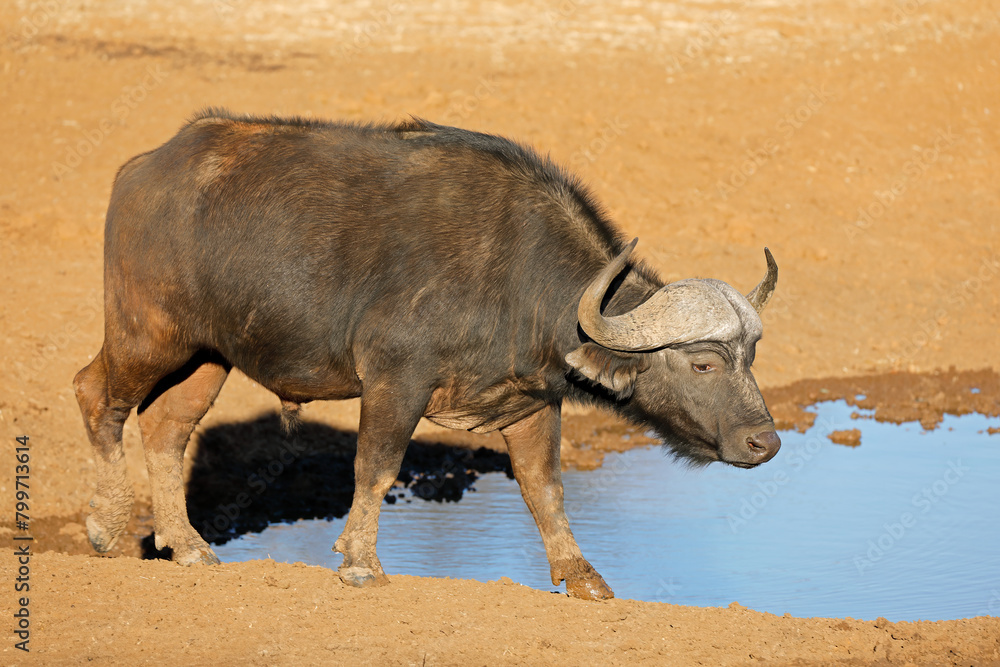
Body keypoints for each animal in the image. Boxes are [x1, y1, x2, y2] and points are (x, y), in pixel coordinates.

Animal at [76, 109, 780, 600]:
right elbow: (376, 468)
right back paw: (108, 529)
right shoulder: (396, 381)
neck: (515, 276)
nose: (765, 443)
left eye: (751, 356)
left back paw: (188, 546)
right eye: (703, 362)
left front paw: (581, 575)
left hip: (207, 355)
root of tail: (144, 169)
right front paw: (361, 564)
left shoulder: (530, 403)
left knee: (166, 431)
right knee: (97, 395)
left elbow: (545, 489)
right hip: (147, 335)